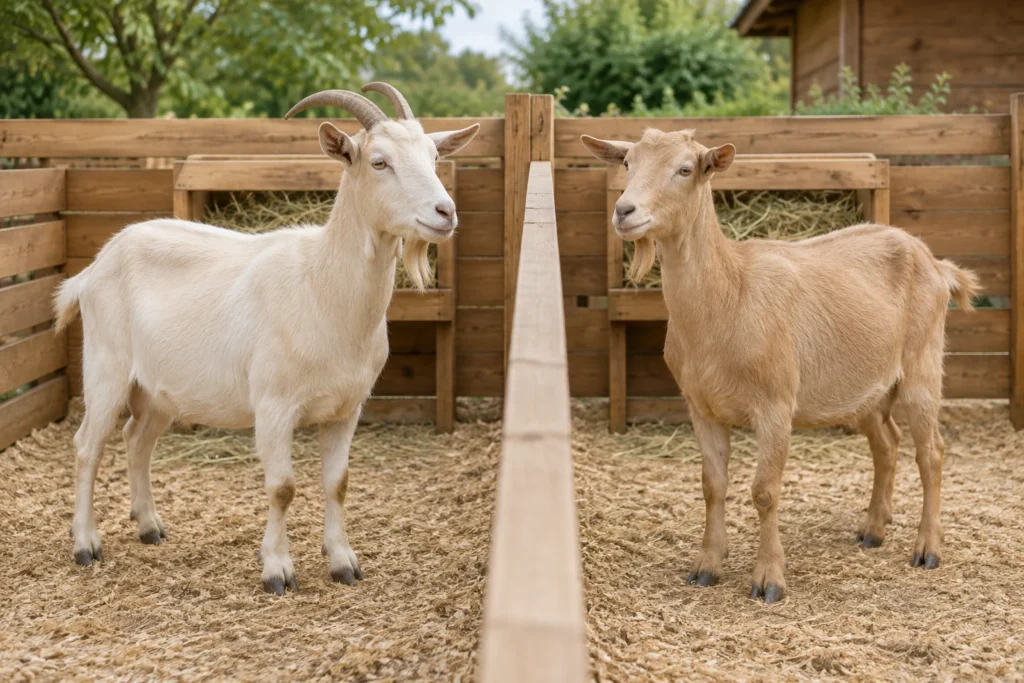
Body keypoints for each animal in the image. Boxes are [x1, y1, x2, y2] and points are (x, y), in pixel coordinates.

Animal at [53, 83, 479, 595]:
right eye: (379, 162)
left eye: (435, 157)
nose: (445, 212)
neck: (320, 286)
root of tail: (95, 267)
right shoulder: (275, 406)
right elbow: (282, 487)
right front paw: (277, 569)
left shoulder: (347, 408)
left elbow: (338, 482)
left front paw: (343, 563)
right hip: (106, 367)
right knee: (87, 445)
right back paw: (85, 545)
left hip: (157, 389)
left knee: (137, 439)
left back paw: (150, 526)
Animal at [582, 129, 979, 603]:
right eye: (628, 164)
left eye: (685, 168)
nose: (625, 211)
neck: (730, 296)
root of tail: (937, 264)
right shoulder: (701, 407)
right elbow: (712, 486)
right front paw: (706, 567)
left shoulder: (774, 404)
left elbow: (764, 491)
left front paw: (769, 580)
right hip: (868, 388)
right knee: (887, 444)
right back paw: (872, 529)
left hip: (923, 363)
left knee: (931, 451)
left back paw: (927, 549)